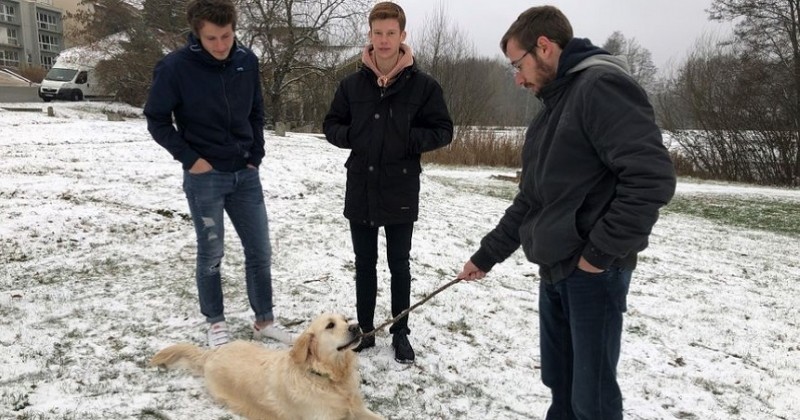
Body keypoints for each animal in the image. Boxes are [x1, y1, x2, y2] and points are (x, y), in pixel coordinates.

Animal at [154, 314, 388, 418]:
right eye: (330, 325)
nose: (356, 326)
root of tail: (213, 352)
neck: (327, 378)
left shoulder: (358, 409)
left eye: (345, 320)